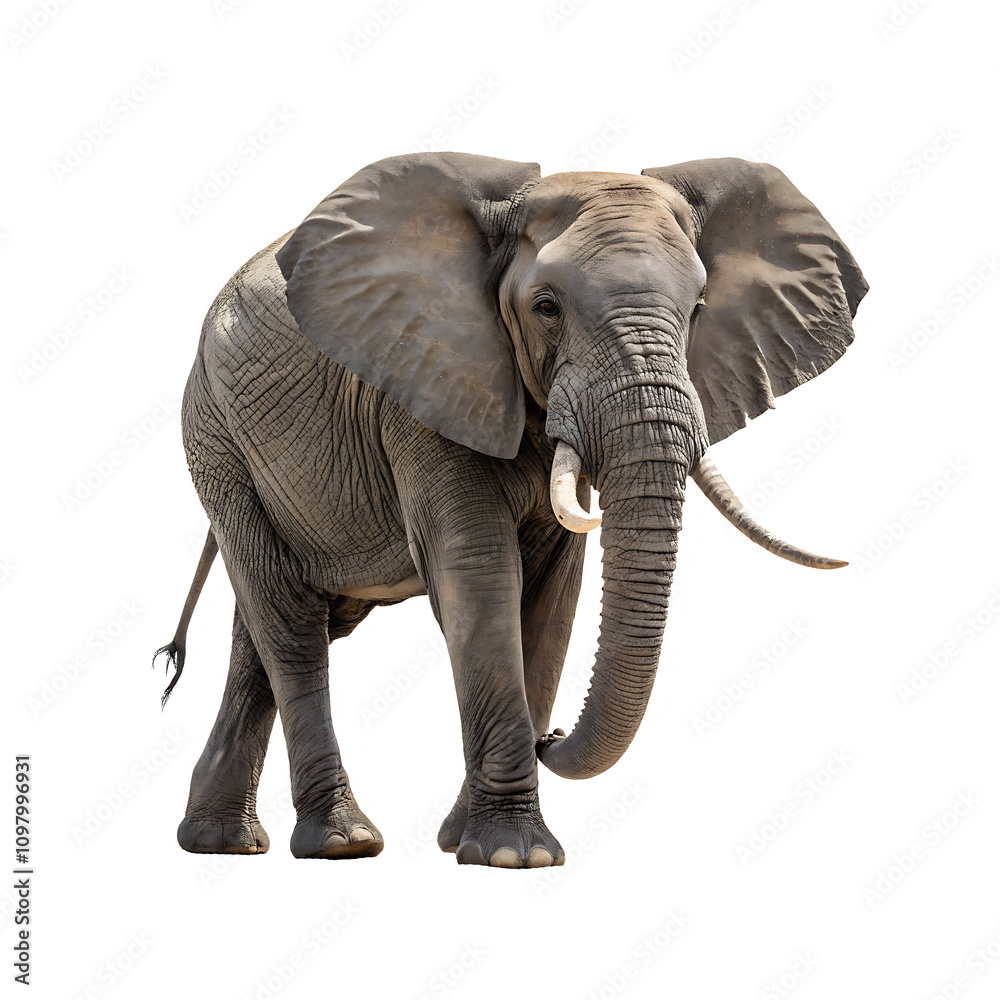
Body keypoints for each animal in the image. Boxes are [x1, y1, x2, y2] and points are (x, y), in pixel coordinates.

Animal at [154, 151, 866, 869]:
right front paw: (513, 855)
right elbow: (479, 573)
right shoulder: (423, 382)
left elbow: (553, 594)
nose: (552, 738)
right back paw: (341, 843)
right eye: (546, 308)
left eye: (697, 310)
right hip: (217, 439)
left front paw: (461, 840)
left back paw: (220, 842)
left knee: (273, 628)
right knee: (290, 622)